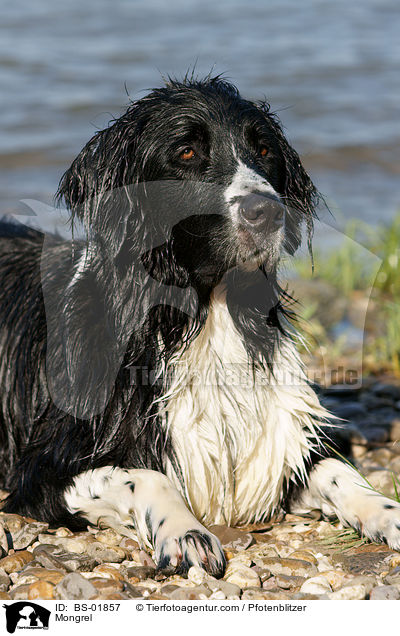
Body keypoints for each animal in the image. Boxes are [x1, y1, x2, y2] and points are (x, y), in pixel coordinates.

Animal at [0, 76, 400, 576]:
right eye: (187, 152)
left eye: (264, 149)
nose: (267, 211)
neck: (209, 316)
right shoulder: (42, 469)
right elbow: (145, 474)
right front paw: (185, 531)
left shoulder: (278, 446)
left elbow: (338, 472)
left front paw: (388, 511)